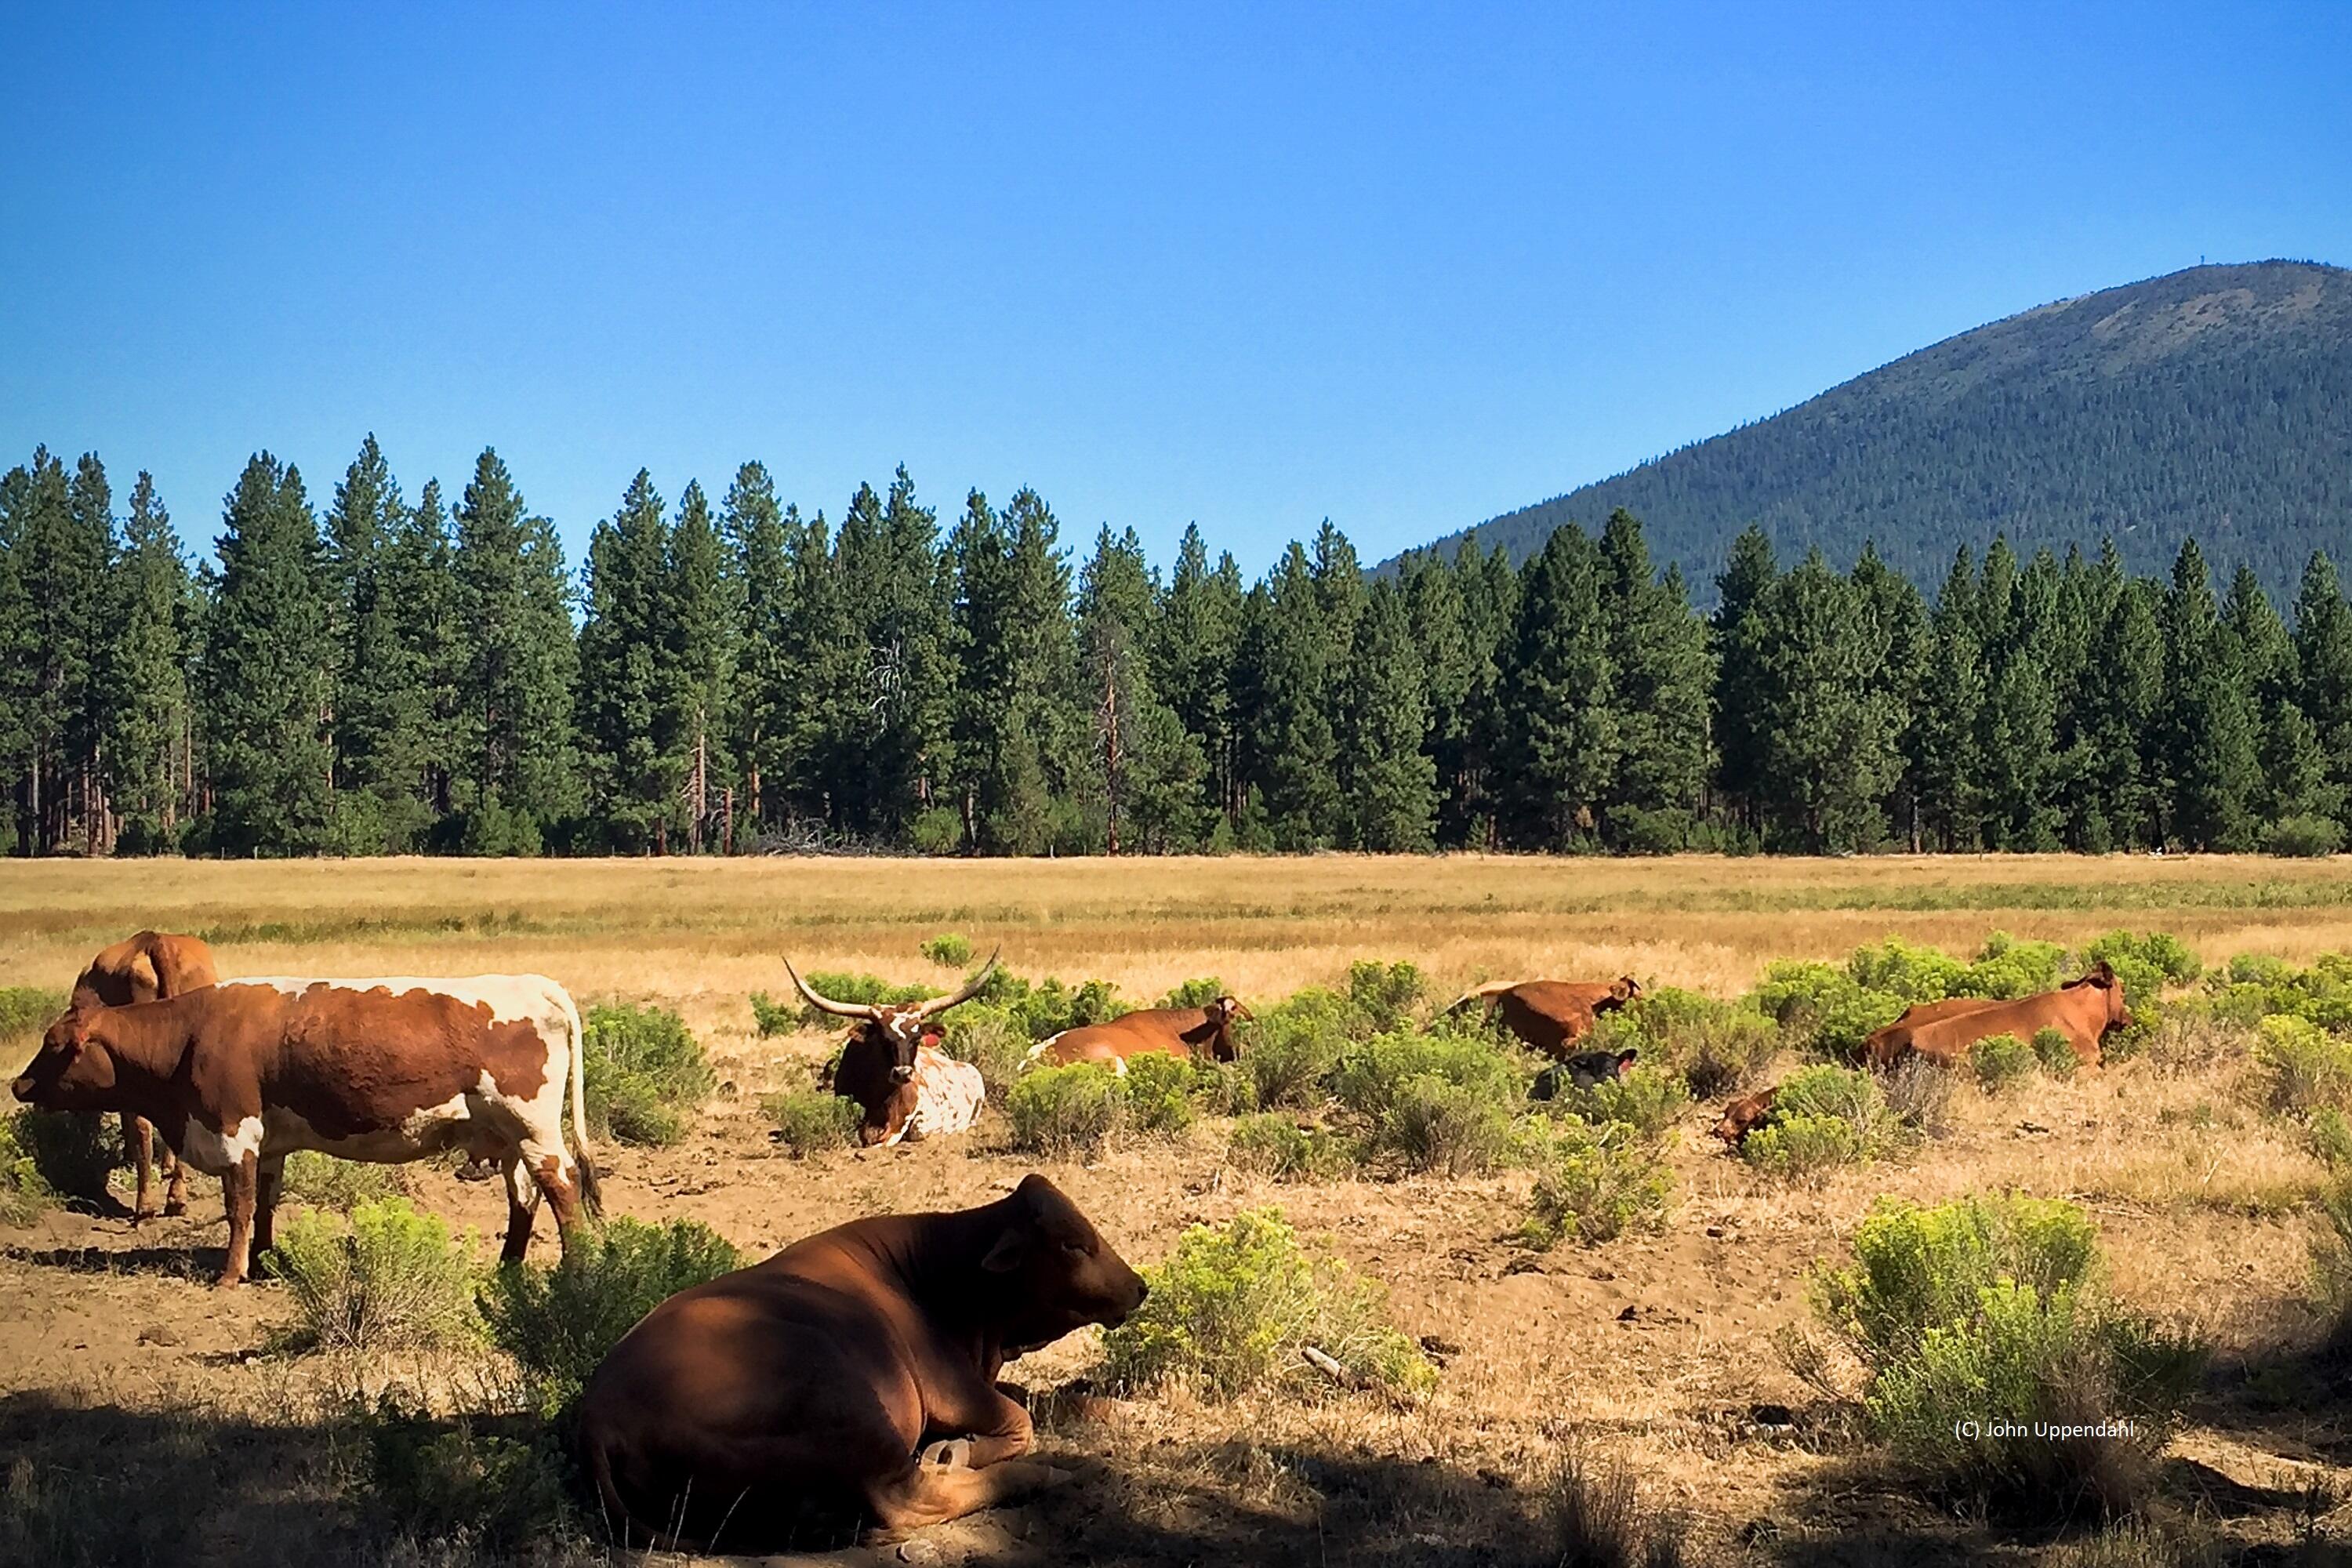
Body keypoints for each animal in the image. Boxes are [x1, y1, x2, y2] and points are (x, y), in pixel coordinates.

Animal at [9, 974, 598, 1286]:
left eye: (55, 1044)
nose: (17, 1084)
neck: (190, 1037)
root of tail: (531, 983)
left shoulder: (234, 1136)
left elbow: (240, 1208)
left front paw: (231, 1275)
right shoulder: (267, 1143)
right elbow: (266, 1203)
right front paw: (264, 1261)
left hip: (534, 1130)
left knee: (562, 1189)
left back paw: (573, 1270)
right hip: (507, 1138)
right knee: (524, 1198)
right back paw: (508, 1268)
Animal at [578, 1173, 1148, 1549]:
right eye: (1073, 1244)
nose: (1139, 1286)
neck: (942, 1274)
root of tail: (600, 1415)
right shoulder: (951, 1387)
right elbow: (1018, 1419)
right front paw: (957, 1449)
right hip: (848, 1404)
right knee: (910, 1499)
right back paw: (1041, 1474)